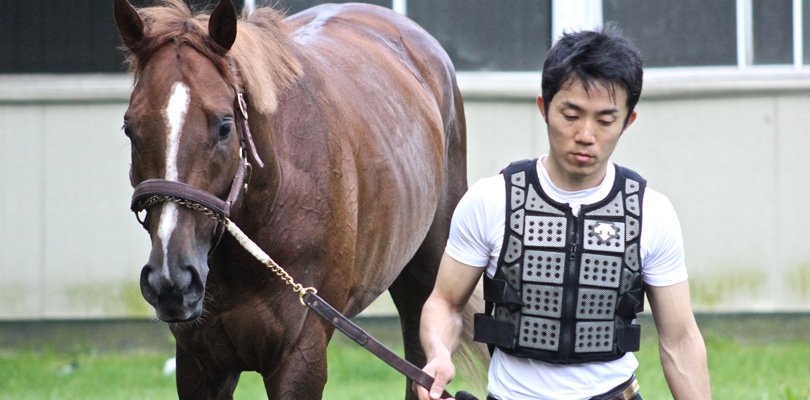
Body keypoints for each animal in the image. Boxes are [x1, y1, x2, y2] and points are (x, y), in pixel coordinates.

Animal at [114, 0, 473, 398]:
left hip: (426, 278)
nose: (172, 280)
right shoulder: (199, 365)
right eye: (130, 128)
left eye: (224, 126)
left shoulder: (300, 358)